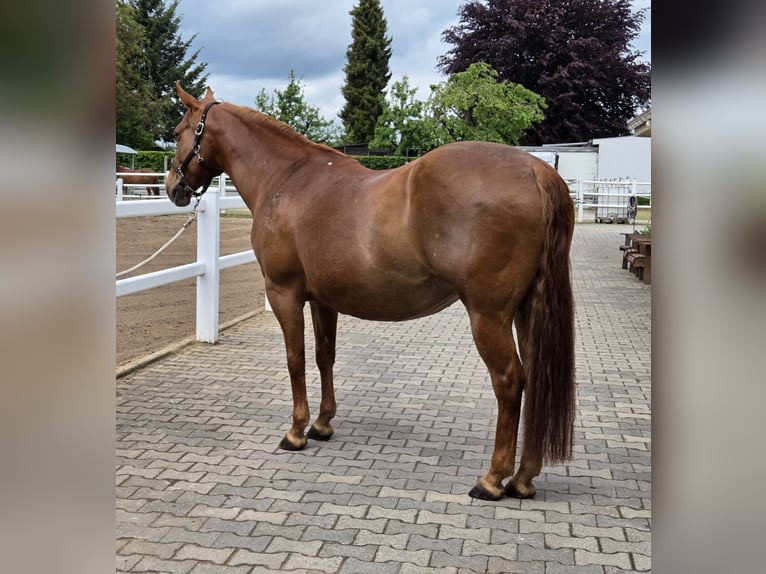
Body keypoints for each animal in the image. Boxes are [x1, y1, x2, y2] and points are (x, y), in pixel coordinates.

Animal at [166, 83, 576, 501]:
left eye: (178, 131)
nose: (172, 187)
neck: (285, 180)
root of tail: (537, 170)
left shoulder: (284, 294)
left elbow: (296, 359)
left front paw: (295, 432)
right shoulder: (323, 301)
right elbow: (324, 357)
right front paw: (322, 424)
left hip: (488, 315)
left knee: (510, 382)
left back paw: (492, 480)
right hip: (525, 311)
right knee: (536, 378)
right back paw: (523, 479)